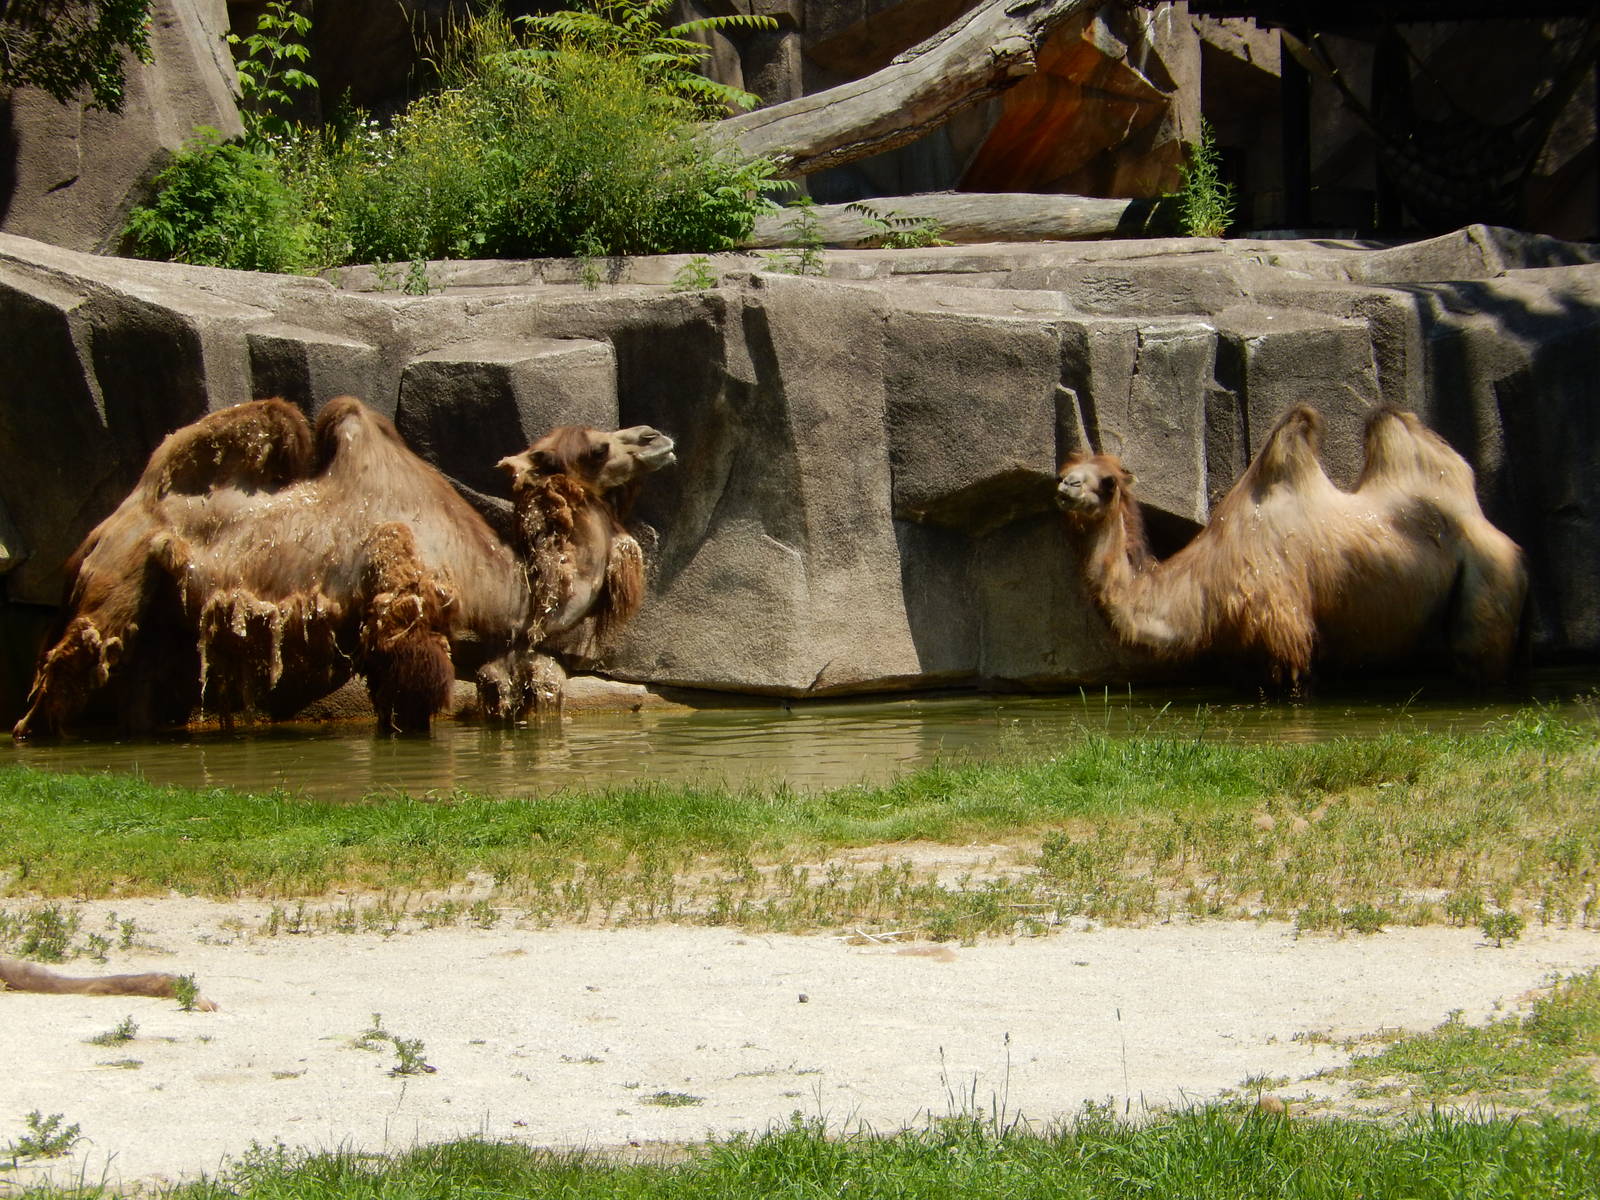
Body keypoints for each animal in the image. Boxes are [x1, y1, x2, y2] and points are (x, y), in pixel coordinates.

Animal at [12, 396, 674, 738]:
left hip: (158, 613)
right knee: (66, 671)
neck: (506, 586)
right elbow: (411, 709)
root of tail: (105, 526)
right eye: (597, 448)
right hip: (116, 583)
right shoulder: (406, 624)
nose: (657, 435)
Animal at [1055, 405, 1527, 689]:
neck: (1204, 585)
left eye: (1108, 482)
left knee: (1477, 655)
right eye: (1068, 469)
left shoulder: (1285, 629)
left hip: (1488, 582)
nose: (1066, 486)